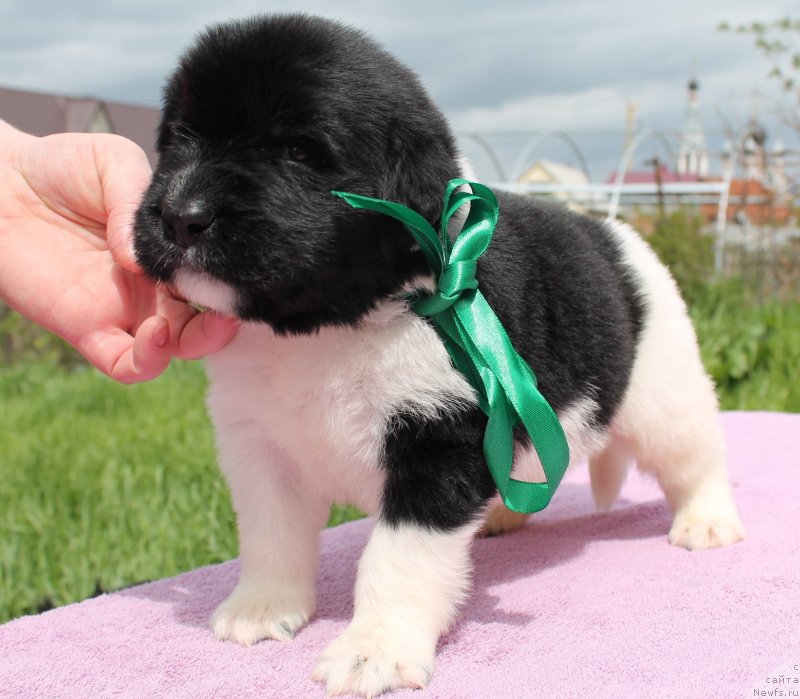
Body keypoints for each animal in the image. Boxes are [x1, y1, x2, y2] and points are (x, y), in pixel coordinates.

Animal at [136, 12, 744, 699]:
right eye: (179, 138)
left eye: (298, 152)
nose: (180, 216)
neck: (328, 328)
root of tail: (612, 233)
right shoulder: (260, 446)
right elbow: (270, 535)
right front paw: (263, 608)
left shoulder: (438, 440)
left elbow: (397, 557)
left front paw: (374, 649)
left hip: (664, 387)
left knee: (695, 454)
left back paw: (707, 521)